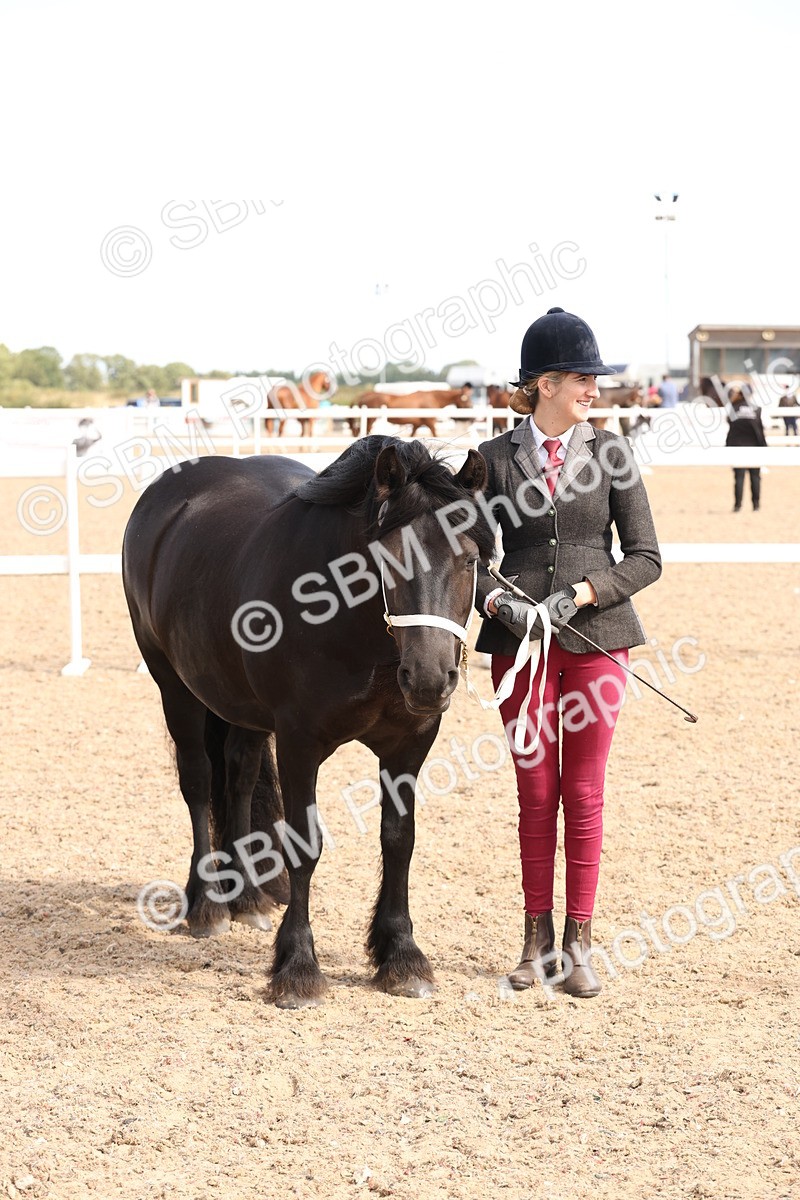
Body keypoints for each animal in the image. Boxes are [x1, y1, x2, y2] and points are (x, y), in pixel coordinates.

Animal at [121, 436, 494, 1008]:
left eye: (470, 559)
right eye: (389, 557)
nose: (431, 679)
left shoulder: (410, 743)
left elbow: (399, 839)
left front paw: (402, 957)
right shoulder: (300, 744)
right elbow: (304, 845)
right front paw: (297, 968)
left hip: (242, 708)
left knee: (240, 777)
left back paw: (248, 898)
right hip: (175, 689)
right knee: (200, 784)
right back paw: (207, 905)